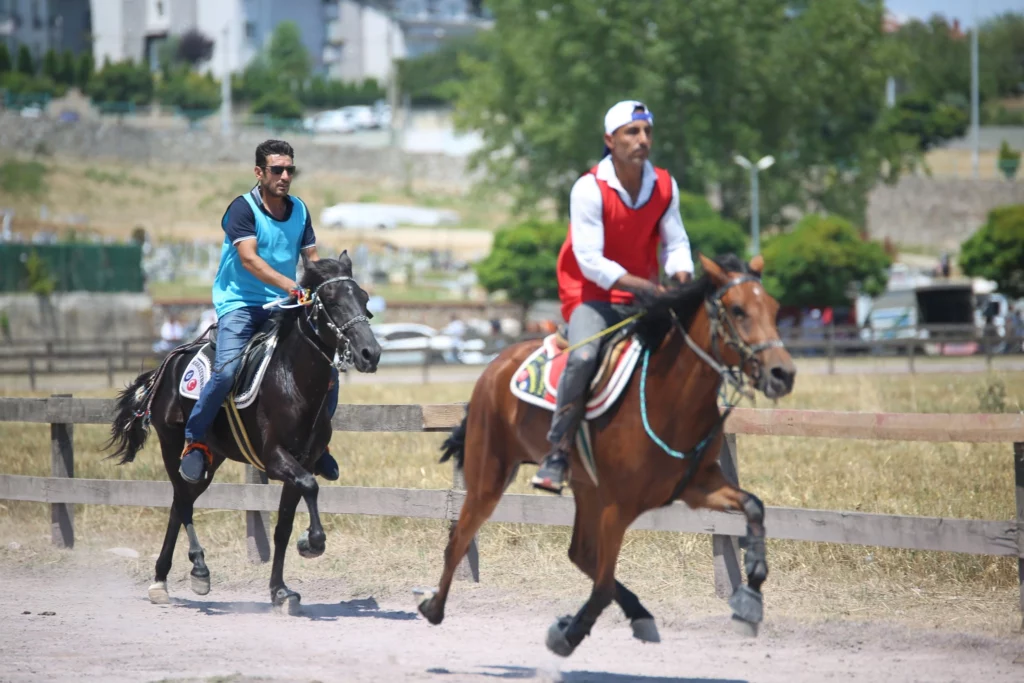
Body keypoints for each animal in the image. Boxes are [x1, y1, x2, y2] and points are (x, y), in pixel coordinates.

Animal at [103, 252, 380, 614]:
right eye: (331, 301)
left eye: (364, 298)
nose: (370, 353)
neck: (291, 379)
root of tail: (168, 364)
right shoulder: (275, 459)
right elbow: (310, 485)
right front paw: (312, 543)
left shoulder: (302, 460)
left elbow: (283, 526)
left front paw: (280, 590)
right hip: (173, 446)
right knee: (182, 503)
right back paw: (195, 570)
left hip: (212, 457)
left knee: (180, 504)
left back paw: (163, 578)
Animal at [417, 252, 798, 655]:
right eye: (738, 310)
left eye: (774, 307)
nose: (782, 373)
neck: (669, 399)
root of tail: (496, 363)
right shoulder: (619, 507)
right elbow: (601, 586)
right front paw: (567, 634)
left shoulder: (697, 485)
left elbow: (754, 507)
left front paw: (751, 595)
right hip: (489, 476)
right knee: (459, 538)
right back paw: (434, 606)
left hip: (586, 489)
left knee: (579, 553)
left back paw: (639, 614)